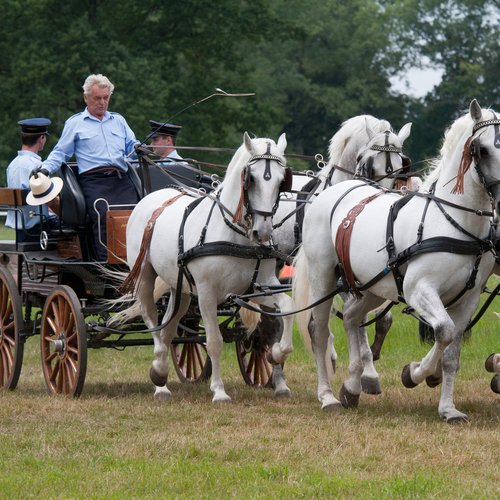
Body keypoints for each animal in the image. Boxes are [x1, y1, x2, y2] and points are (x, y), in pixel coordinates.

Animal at [121, 133, 292, 402]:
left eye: (281, 180)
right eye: (251, 178)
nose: (262, 232)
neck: (236, 236)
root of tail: (151, 198)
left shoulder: (261, 286)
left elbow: (287, 308)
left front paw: (276, 353)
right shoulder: (207, 294)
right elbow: (214, 341)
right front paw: (219, 391)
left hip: (179, 286)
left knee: (169, 326)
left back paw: (163, 375)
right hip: (146, 276)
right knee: (152, 319)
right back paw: (159, 376)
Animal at [294, 99, 500, 420]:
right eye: (483, 149)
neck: (453, 222)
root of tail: (334, 191)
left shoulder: (469, 298)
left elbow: (451, 353)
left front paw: (448, 409)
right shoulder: (418, 290)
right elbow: (443, 331)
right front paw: (414, 373)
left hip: (373, 287)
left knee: (352, 318)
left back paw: (353, 386)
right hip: (323, 277)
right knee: (319, 331)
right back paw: (327, 396)